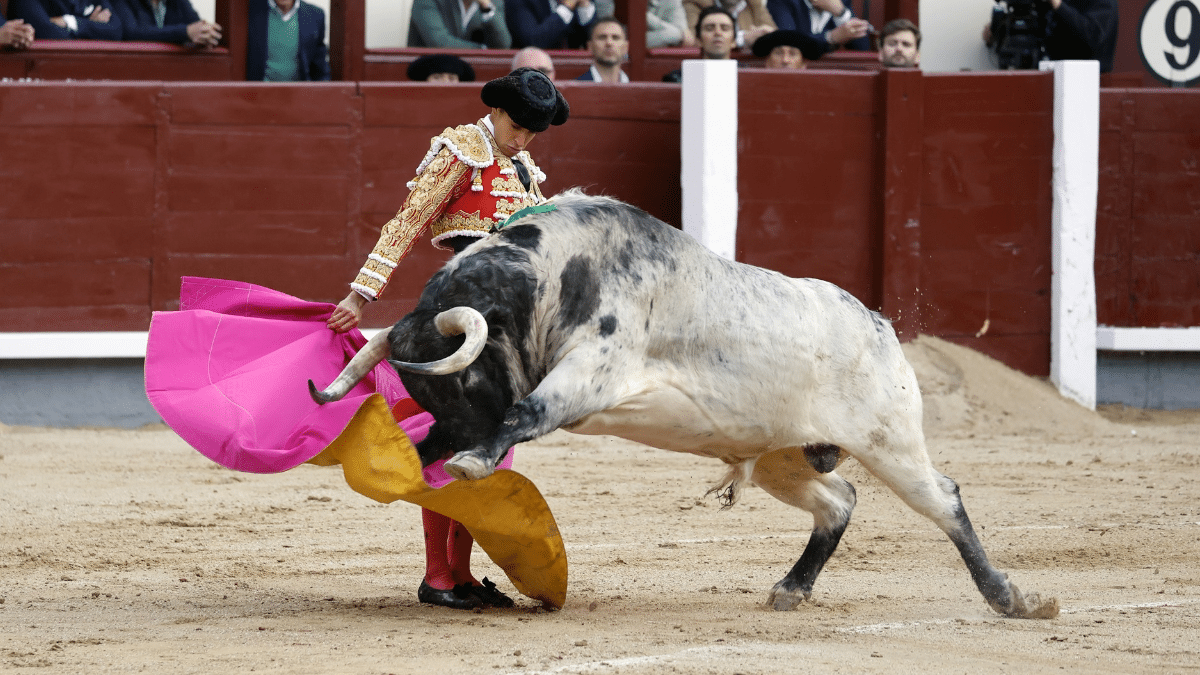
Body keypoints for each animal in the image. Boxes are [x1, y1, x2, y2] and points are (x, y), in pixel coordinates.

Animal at [312, 187, 1060, 614]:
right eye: (425, 390)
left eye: (460, 379)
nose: (448, 451)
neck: (554, 271)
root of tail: (878, 324)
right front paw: (413, 460)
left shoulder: (592, 370)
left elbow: (529, 409)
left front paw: (468, 464)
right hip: (785, 456)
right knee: (839, 500)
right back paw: (791, 589)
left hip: (891, 440)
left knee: (944, 498)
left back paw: (1010, 597)